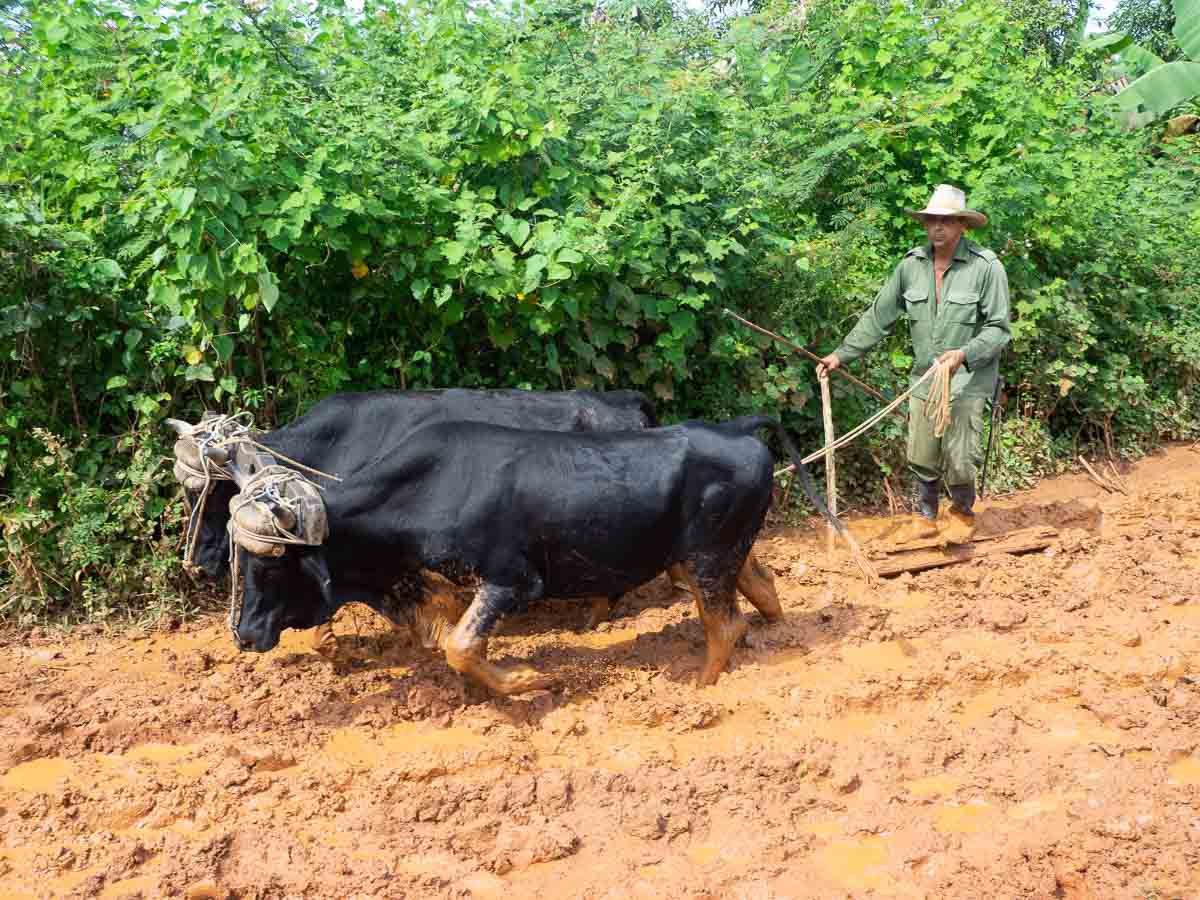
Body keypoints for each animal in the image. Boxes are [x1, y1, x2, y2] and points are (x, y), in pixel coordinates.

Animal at [220, 415, 859, 692]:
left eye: (269, 564)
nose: (244, 635)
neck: (427, 487)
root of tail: (741, 429)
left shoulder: (512, 581)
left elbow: (460, 647)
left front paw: (527, 679)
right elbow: (447, 639)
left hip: (705, 556)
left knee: (723, 624)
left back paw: (699, 686)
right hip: (709, 553)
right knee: (760, 589)